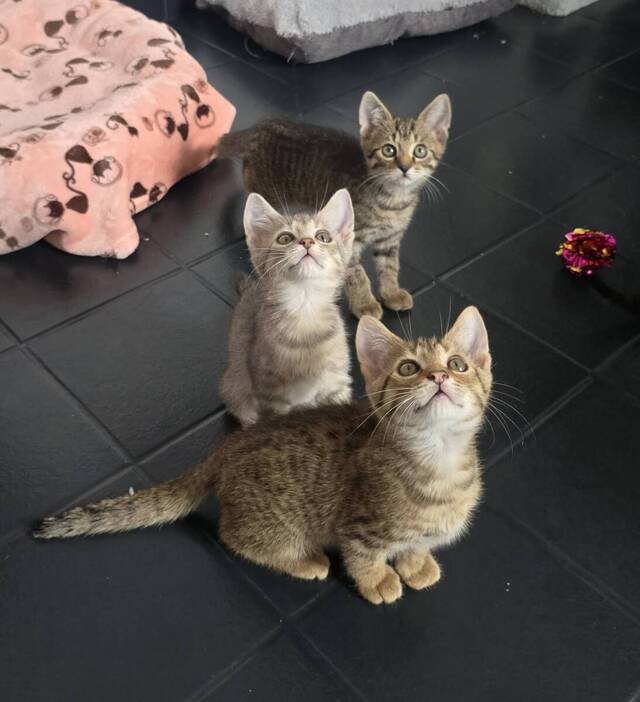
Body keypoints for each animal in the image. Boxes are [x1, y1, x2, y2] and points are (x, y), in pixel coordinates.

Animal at [34, 306, 492, 606]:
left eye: (458, 364)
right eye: (408, 368)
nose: (439, 375)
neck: (440, 459)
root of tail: (229, 445)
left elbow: (414, 545)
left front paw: (416, 564)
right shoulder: (356, 527)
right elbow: (364, 557)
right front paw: (379, 579)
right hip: (279, 521)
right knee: (233, 536)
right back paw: (305, 560)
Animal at [217, 90, 451, 320]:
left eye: (420, 151)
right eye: (389, 150)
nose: (404, 168)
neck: (393, 200)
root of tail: (260, 127)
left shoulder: (389, 240)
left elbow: (390, 267)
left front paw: (391, 293)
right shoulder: (349, 241)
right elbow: (357, 274)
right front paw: (365, 305)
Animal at [220, 188, 355, 426]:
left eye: (323, 236)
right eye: (285, 238)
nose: (307, 241)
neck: (305, 309)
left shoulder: (337, 384)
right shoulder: (268, 396)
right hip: (234, 388)